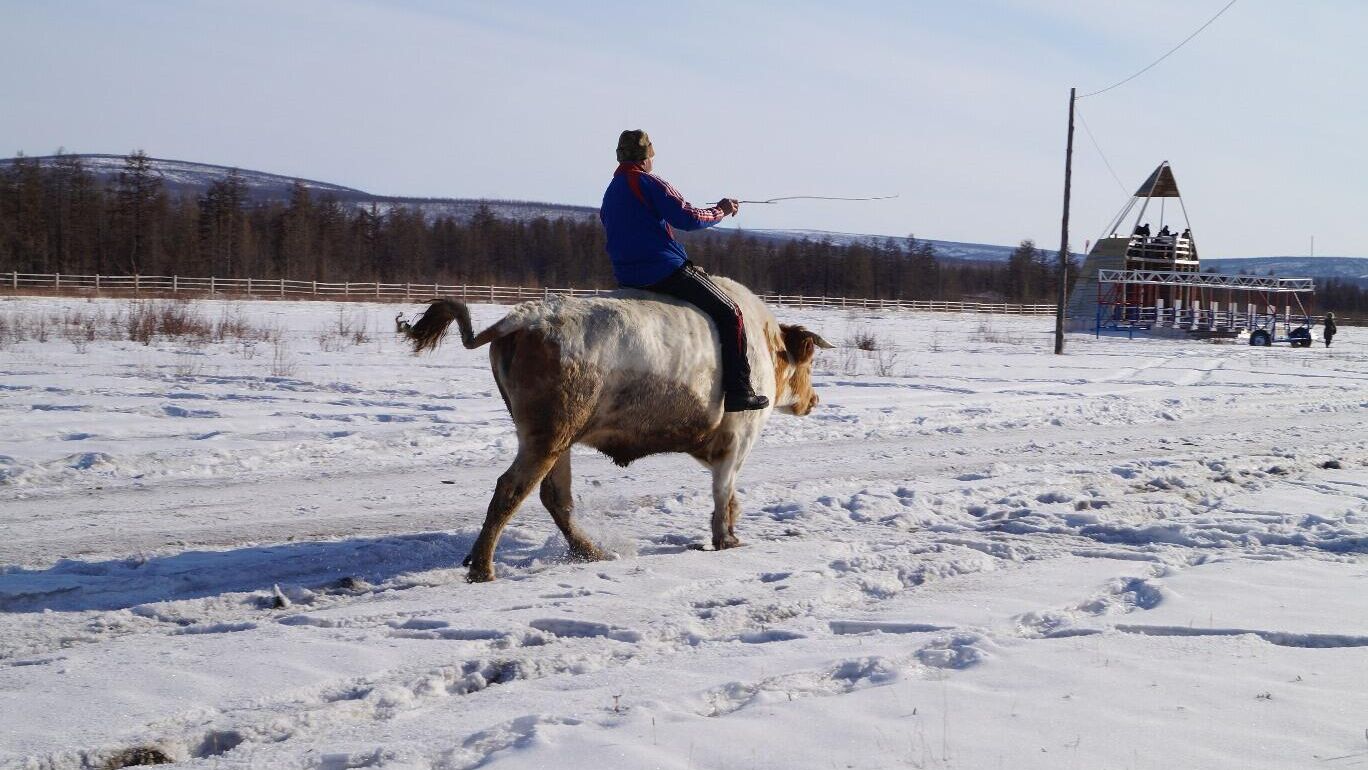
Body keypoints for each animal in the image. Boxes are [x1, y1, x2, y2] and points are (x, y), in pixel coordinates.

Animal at [402, 280, 831, 582]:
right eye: (809, 363)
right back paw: (483, 568)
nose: (815, 399)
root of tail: (521, 318)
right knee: (511, 490)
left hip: (559, 440)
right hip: (547, 436)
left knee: (555, 497)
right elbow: (723, 492)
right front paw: (726, 539)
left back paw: (591, 552)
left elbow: (729, 496)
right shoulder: (737, 438)